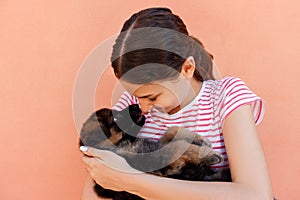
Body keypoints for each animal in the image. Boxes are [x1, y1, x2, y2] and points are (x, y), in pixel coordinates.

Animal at [78, 104, 231, 199]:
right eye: (116, 118)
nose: (136, 105)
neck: (125, 143)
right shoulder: (159, 159)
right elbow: (177, 145)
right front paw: (207, 153)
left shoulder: (157, 146)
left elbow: (171, 130)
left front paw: (199, 139)